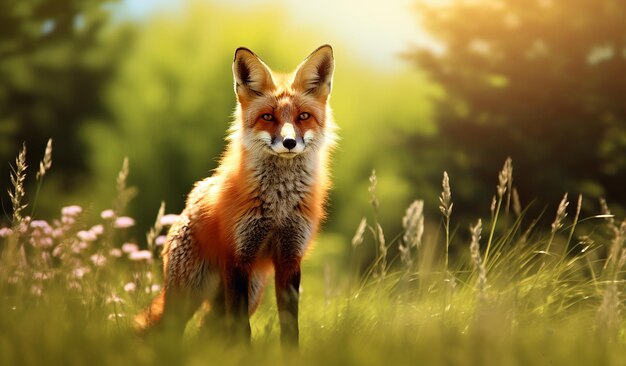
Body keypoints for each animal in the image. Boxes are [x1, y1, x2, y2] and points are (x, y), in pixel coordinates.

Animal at [133, 45, 336, 346]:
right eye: (268, 117)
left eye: (303, 116)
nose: (289, 143)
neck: (278, 205)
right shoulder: (238, 257)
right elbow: (242, 330)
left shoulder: (290, 259)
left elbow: (290, 330)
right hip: (190, 292)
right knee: (170, 330)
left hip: (249, 292)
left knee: (208, 331)